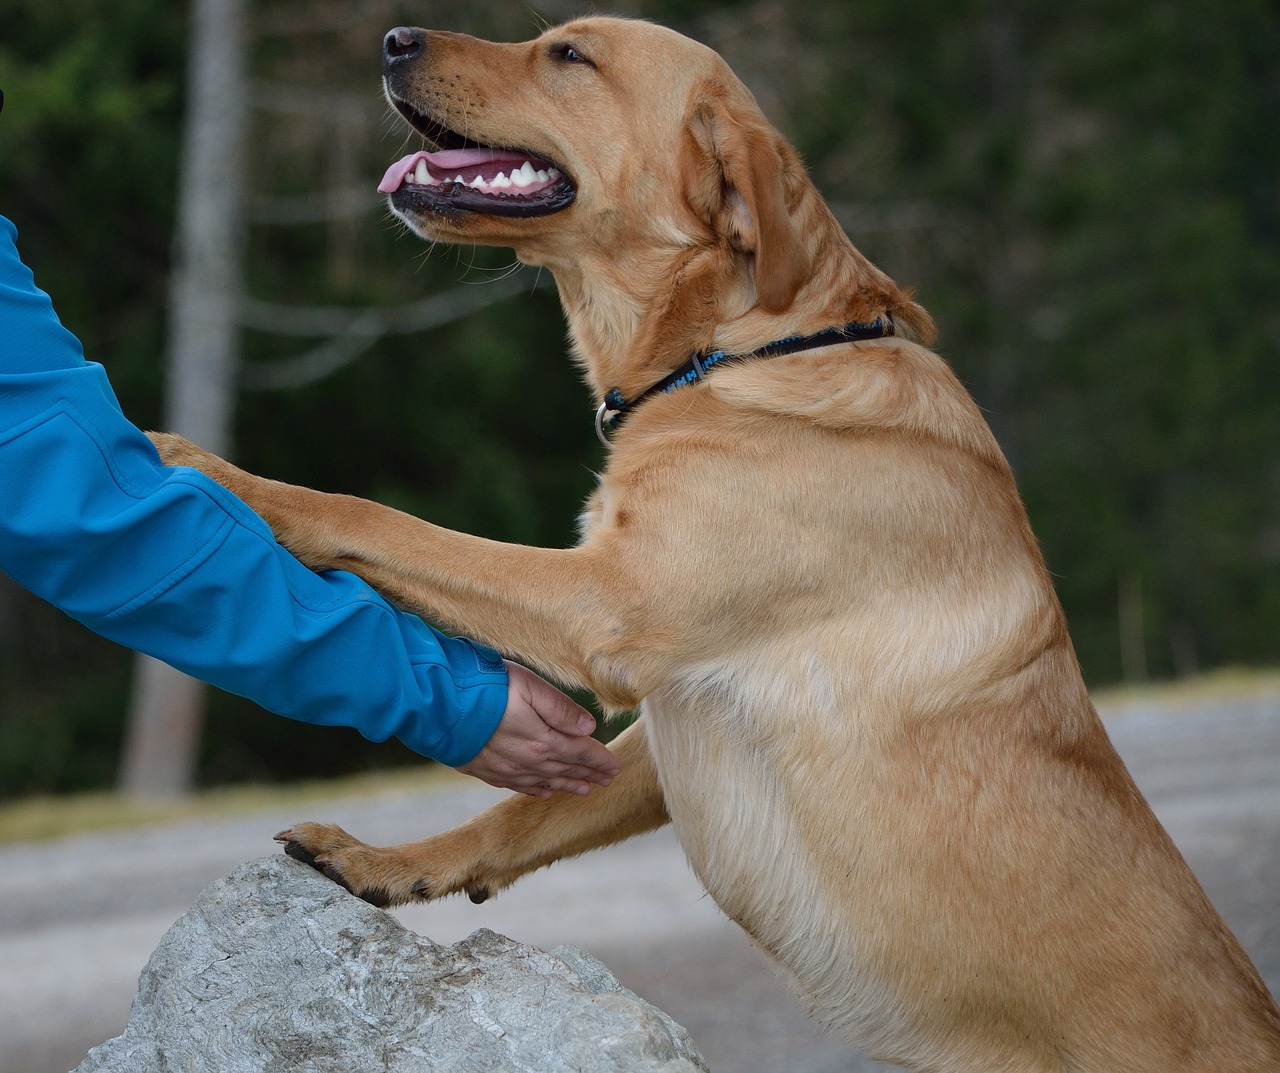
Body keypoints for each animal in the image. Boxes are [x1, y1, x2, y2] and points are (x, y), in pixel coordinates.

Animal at [152, 16, 1280, 1073]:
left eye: (569, 55)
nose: (389, 38)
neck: (740, 347)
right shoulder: (663, 713)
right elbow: (514, 818)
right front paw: (390, 861)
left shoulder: (604, 604)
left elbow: (368, 514)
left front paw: (214, 471)